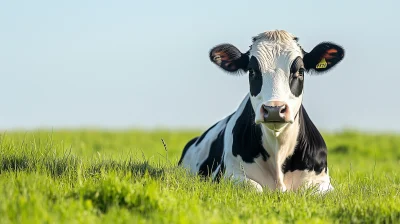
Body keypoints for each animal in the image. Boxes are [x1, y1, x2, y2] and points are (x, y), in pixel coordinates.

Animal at [177, 29, 344, 193]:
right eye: (251, 71)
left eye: (300, 70)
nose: (274, 109)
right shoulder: (228, 175)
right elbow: (255, 188)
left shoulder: (322, 181)